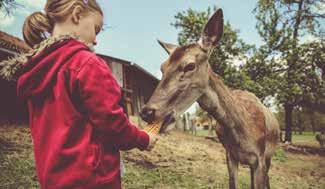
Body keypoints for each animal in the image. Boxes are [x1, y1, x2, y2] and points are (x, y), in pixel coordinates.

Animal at [139, 8, 278, 189]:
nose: (147, 112)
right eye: (162, 67)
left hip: (269, 157)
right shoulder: (230, 155)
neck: (243, 132)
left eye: (190, 65)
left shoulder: (260, 158)